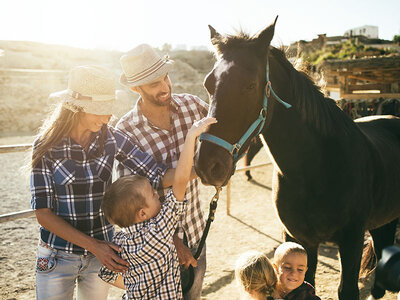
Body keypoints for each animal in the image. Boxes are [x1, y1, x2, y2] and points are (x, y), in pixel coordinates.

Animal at [195, 17, 400, 300]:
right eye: (208, 84)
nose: (208, 165)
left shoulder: (352, 240)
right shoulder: (298, 237)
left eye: (250, 85)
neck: (316, 169)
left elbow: (346, 289)